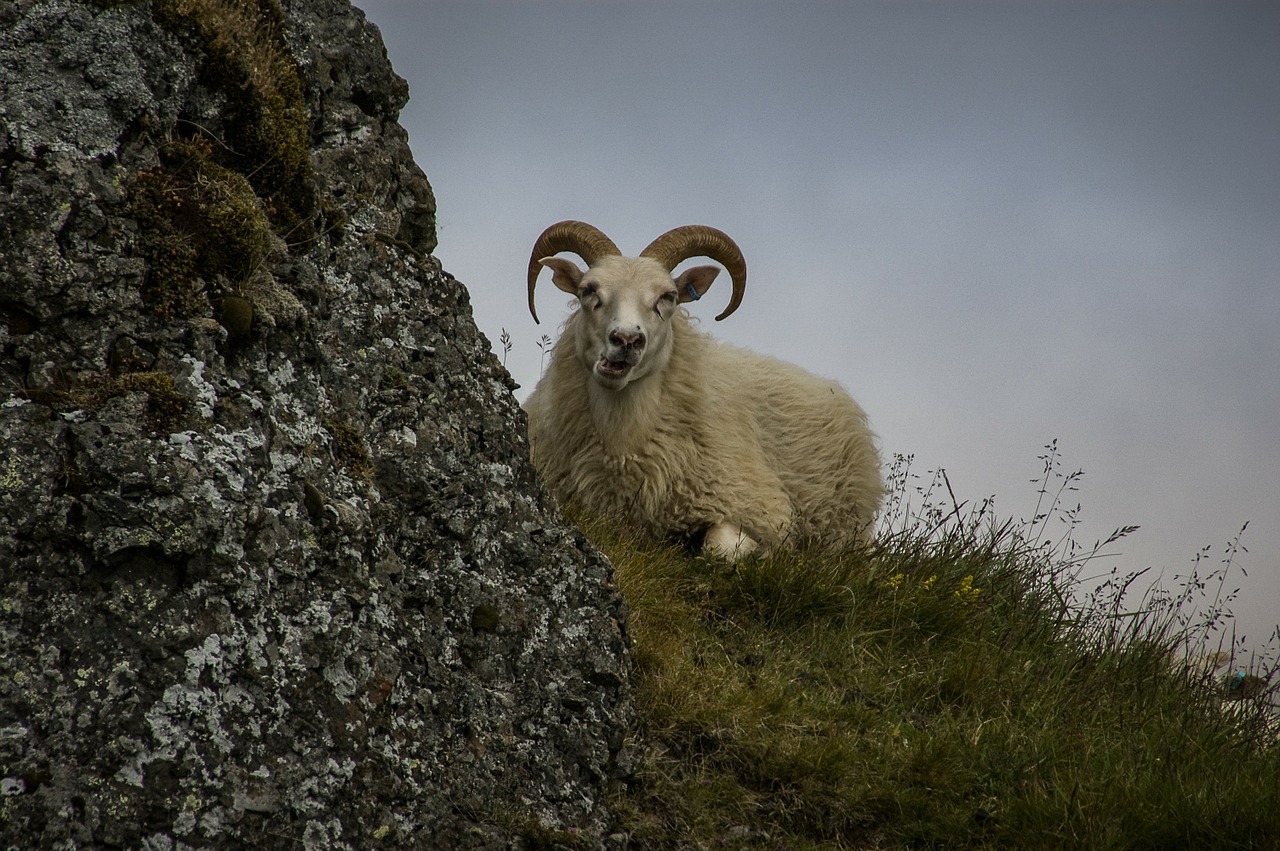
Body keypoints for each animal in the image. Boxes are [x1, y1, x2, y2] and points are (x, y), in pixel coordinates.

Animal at [519, 218, 880, 557]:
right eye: (588, 290)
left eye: (668, 297)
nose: (626, 340)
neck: (622, 444)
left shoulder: (758, 507)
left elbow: (721, 546)